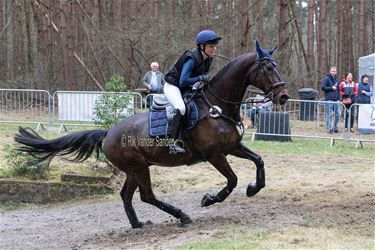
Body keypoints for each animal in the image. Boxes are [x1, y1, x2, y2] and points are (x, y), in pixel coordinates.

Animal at [14, 41, 290, 229]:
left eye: (276, 66)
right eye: (267, 68)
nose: (284, 96)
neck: (217, 105)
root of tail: (109, 132)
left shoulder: (232, 147)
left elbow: (259, 162)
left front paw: (253, 189)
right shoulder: (215, 155)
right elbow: (232, 180)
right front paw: (209, 199)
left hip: (135, 168)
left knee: (127, 195)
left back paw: (138, 224)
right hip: (137, 166)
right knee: (147, 195)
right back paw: (181, 215)